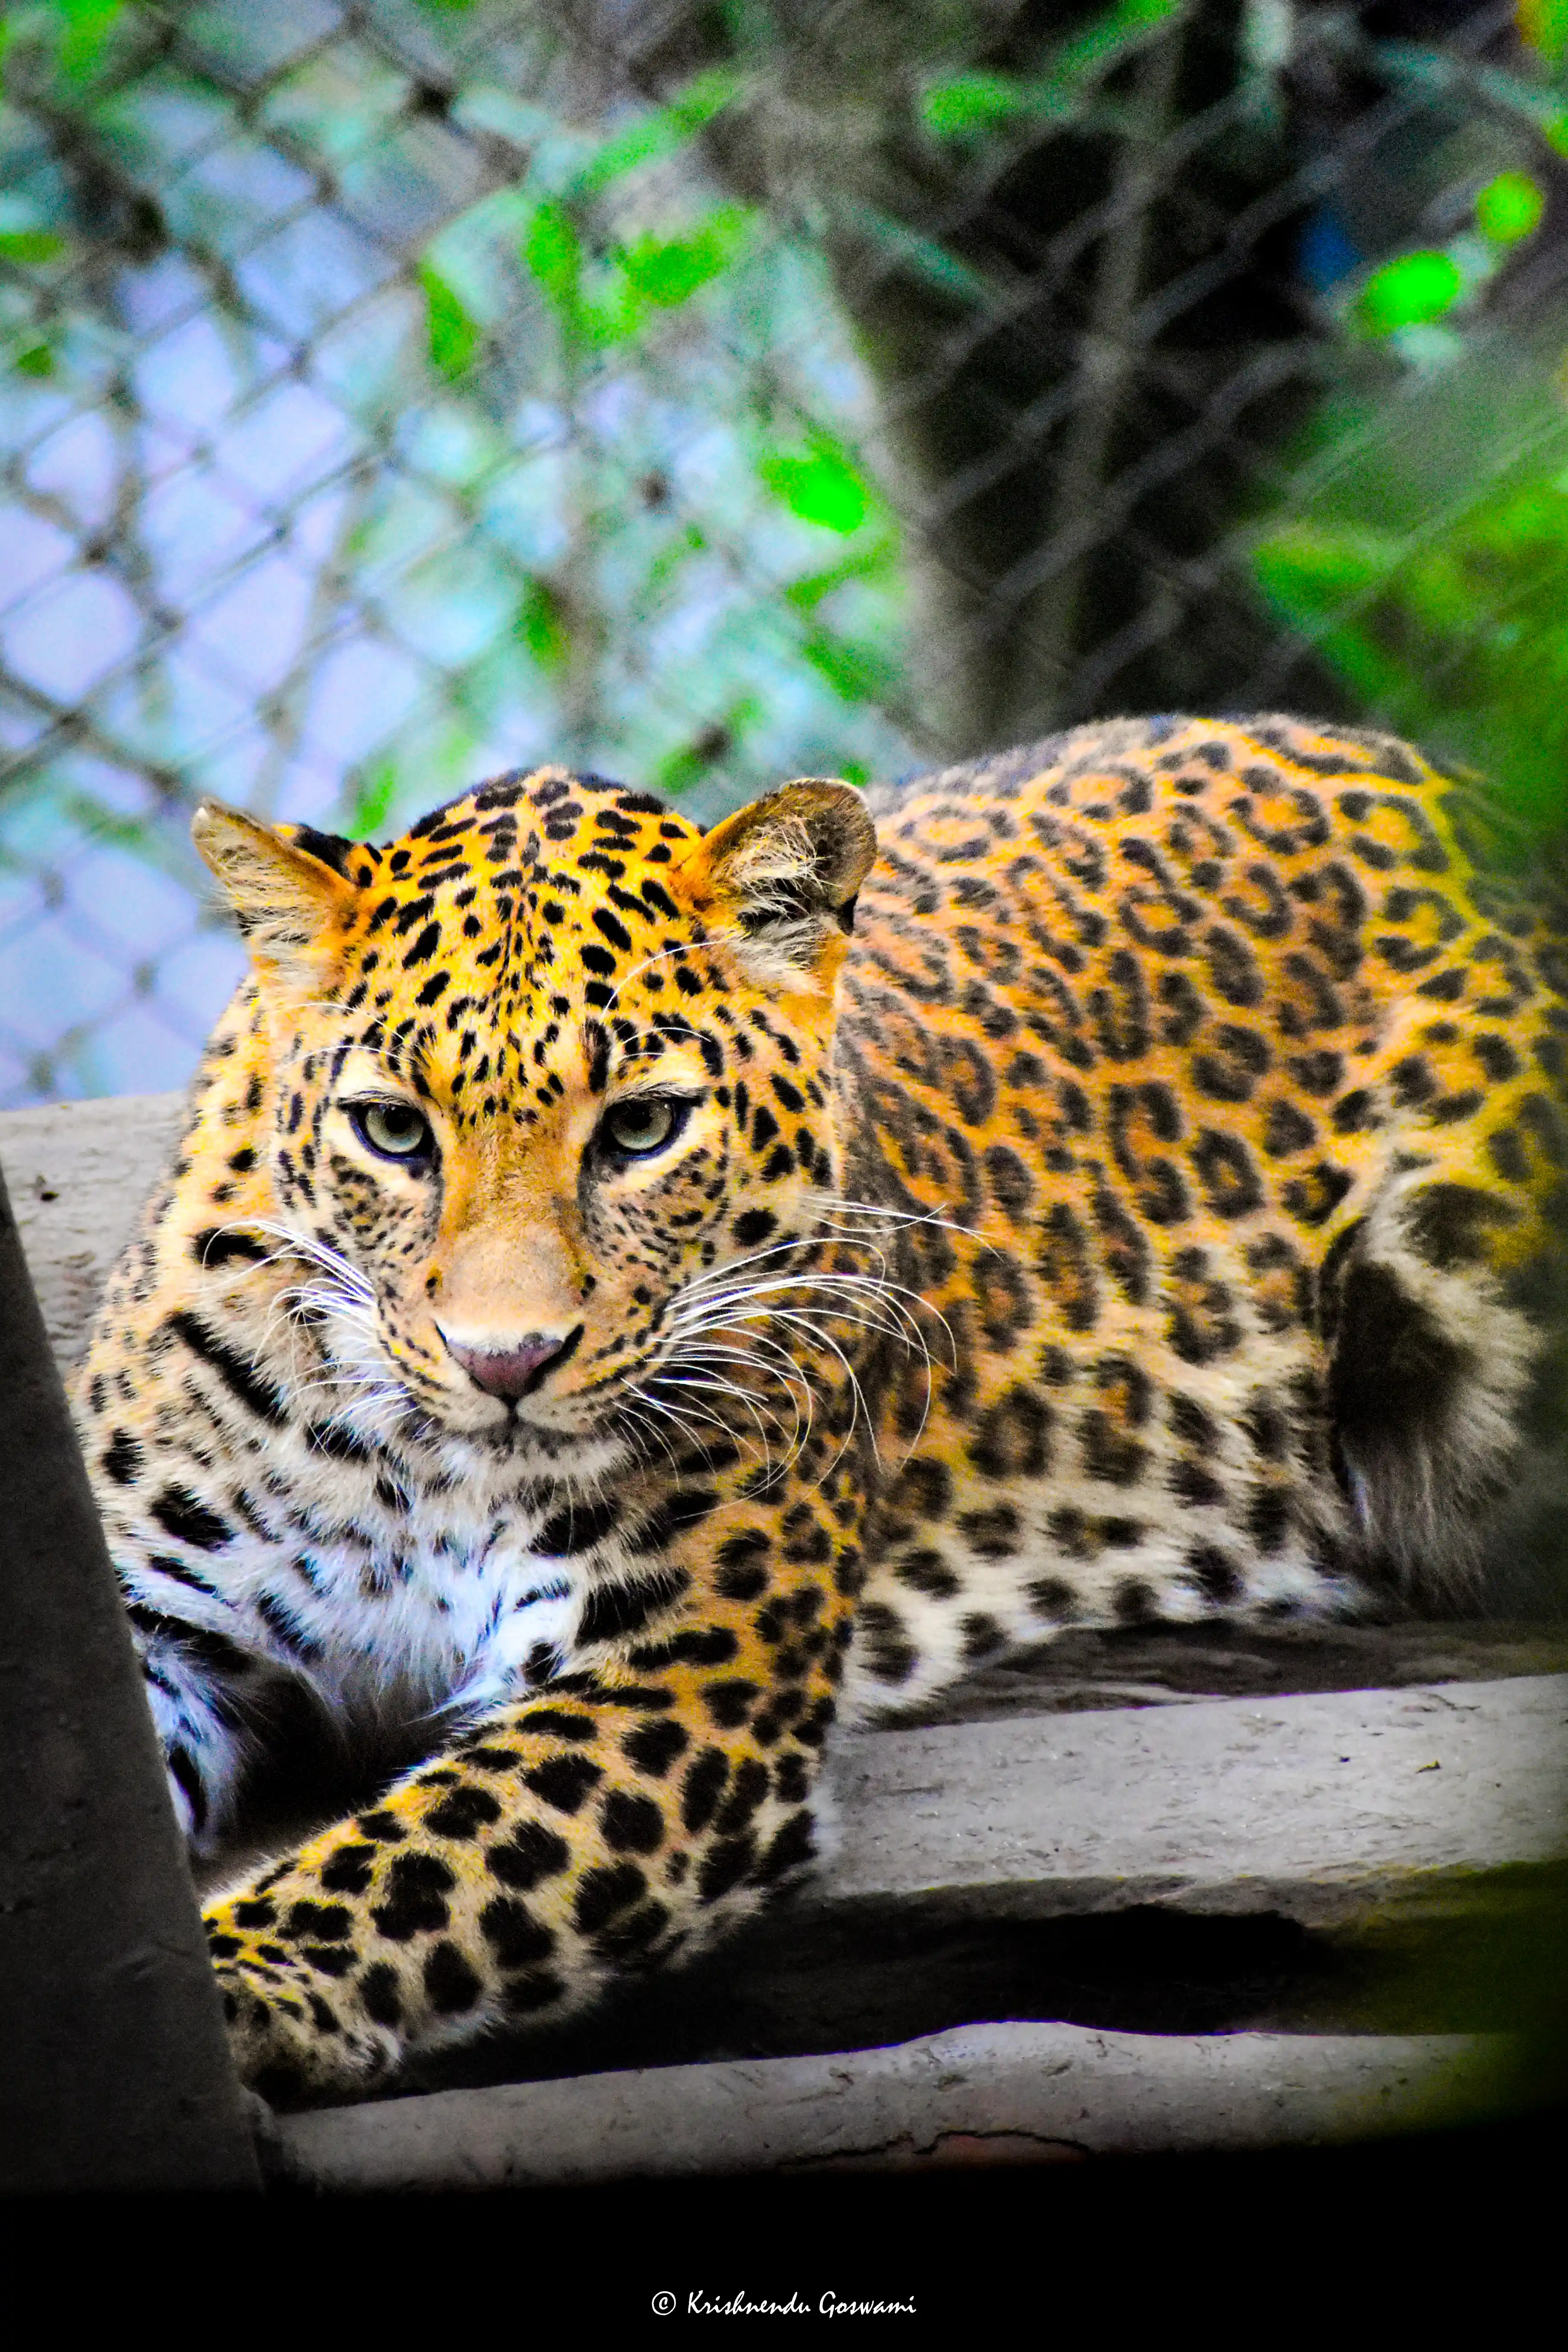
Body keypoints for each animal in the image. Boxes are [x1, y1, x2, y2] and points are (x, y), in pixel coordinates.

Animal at [73, 712, 1568, 2106]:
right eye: (392, 1132)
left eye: (642, 1129)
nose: (506, 1363)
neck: (425, 1468)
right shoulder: (143, 1608)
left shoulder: (673, 1677)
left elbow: (407, 1861)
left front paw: (234, 1983)